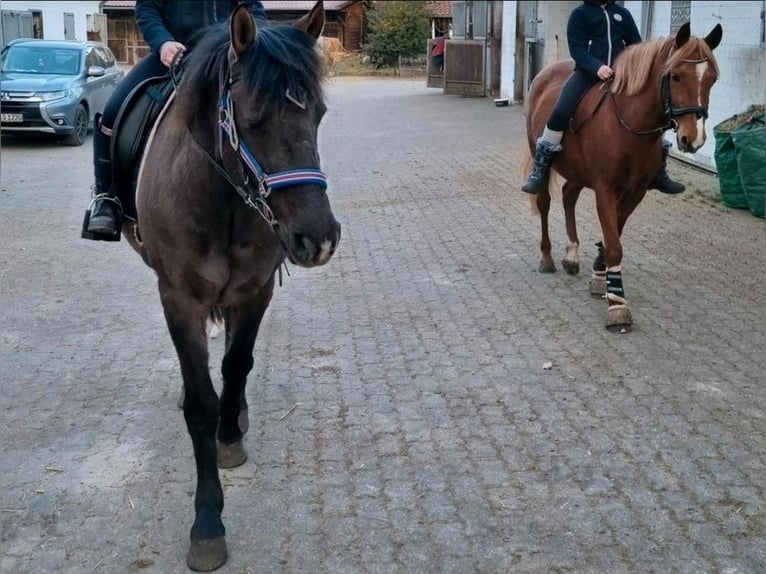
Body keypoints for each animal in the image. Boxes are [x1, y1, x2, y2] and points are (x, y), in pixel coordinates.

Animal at [121, 2, 340, 570]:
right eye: (254, 119)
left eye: (318, 115)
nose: (318, 239)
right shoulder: (179, 298)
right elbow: (200, 403)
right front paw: (206, 524)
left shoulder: (255, 290)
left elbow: (237, 365)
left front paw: (229, 434)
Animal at [524, 22, 722, 331]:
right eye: (676, 76)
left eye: (711, 79)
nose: (694, 138)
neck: (629, 124)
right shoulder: (605, 189)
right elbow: (615, 246)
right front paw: (617, 305)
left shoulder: (635, 192)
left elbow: (613, 235)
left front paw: (600, 276)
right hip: (541, 156)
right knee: (544, 202)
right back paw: (547, 258)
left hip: (578, 171)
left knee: (568, 196)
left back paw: (571, 255)